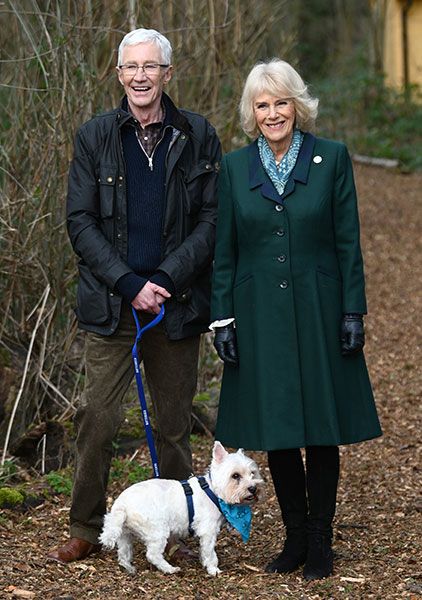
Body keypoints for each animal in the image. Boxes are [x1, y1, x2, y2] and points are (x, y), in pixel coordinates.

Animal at [100, 440, 262, 576]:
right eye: (235, 476)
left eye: (252, 473)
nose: (253, 488)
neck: (213, 491)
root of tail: (121, 506)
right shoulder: (208, 531)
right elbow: (210, 552)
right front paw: (213, 569)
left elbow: (204, 550)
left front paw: (203, 562)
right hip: (157, 530)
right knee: (152, 555)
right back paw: (169, 569)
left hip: (124, 534)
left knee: (123, 554)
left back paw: (129, 568)